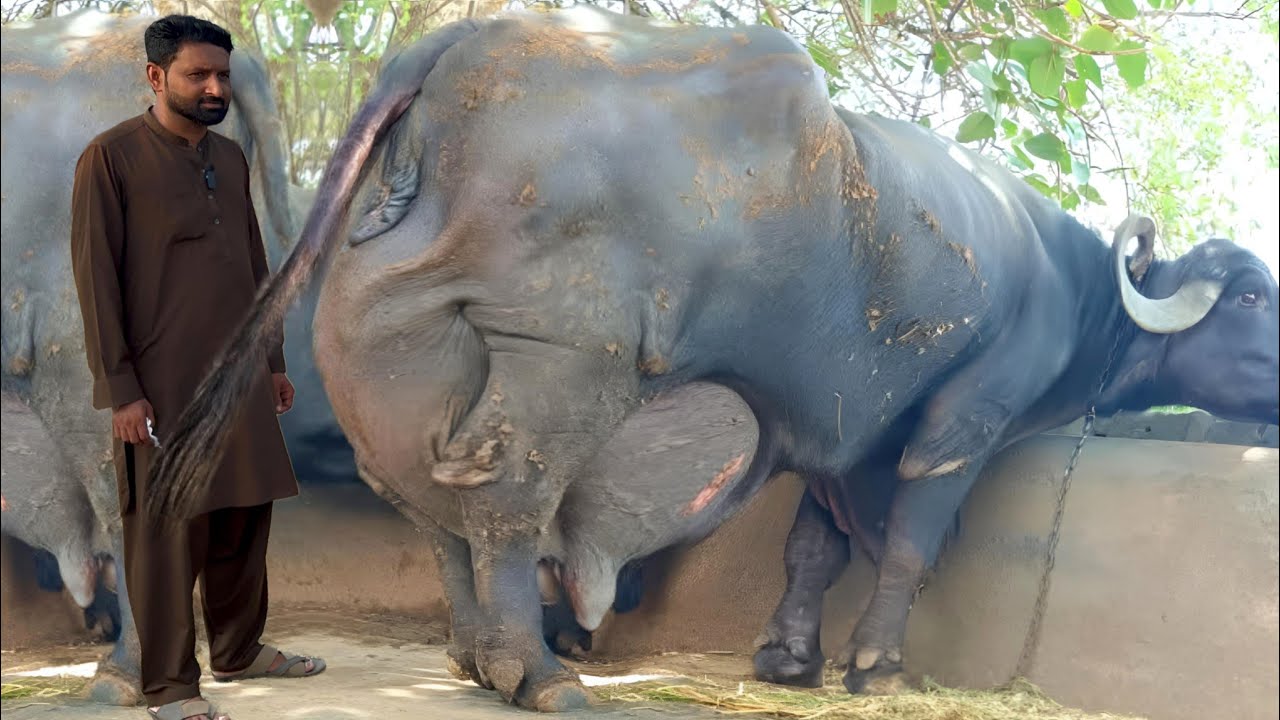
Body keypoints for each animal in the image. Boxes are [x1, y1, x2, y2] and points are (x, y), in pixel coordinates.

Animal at [147, 7, 1280, 712]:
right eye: (1251, 296)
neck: (1070, 281)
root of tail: (473, 36)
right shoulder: (966, 414)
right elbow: (910, 541)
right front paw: (876, 664)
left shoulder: (831, 430)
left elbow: (813, 546)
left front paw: (788, 655)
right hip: (568, 357)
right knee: (509, 498)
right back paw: (537, 671)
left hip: (391, 341)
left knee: (431, 504)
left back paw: (473, 655)